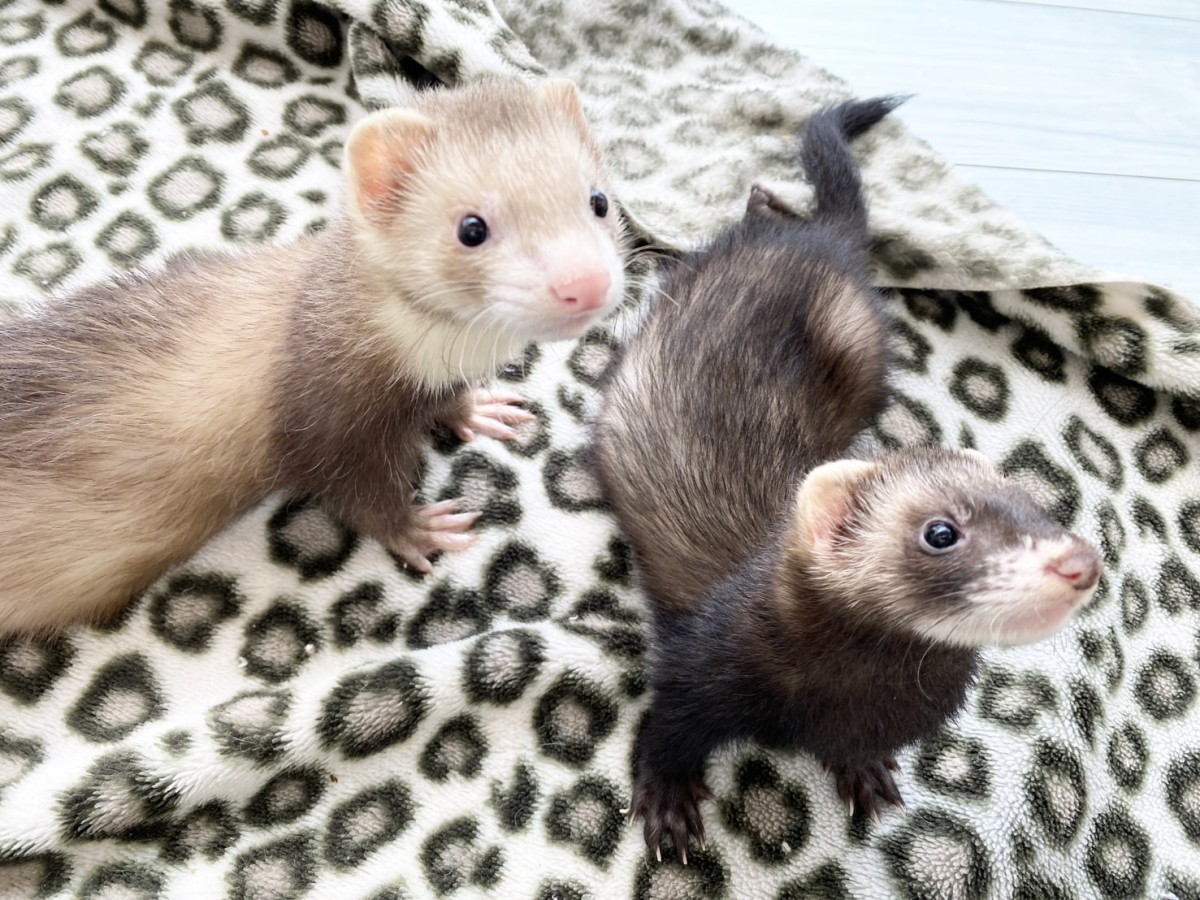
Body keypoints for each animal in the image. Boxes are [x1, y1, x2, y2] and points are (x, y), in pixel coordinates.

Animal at [0, 78, 626, 633]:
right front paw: (418, 529)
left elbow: (448, 403)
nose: (585, 282)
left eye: (598, 199)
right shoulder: (326, 425)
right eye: (471, 227)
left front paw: (477, 410)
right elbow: (355, 495)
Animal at [593, 97, 1100, 862]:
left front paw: (864, 772)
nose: (1079, 562)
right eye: (941, 531)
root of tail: (827, 241)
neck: (847, 694)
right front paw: (669, 803)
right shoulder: (695, 670)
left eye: (1036, 505)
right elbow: (667, 732)